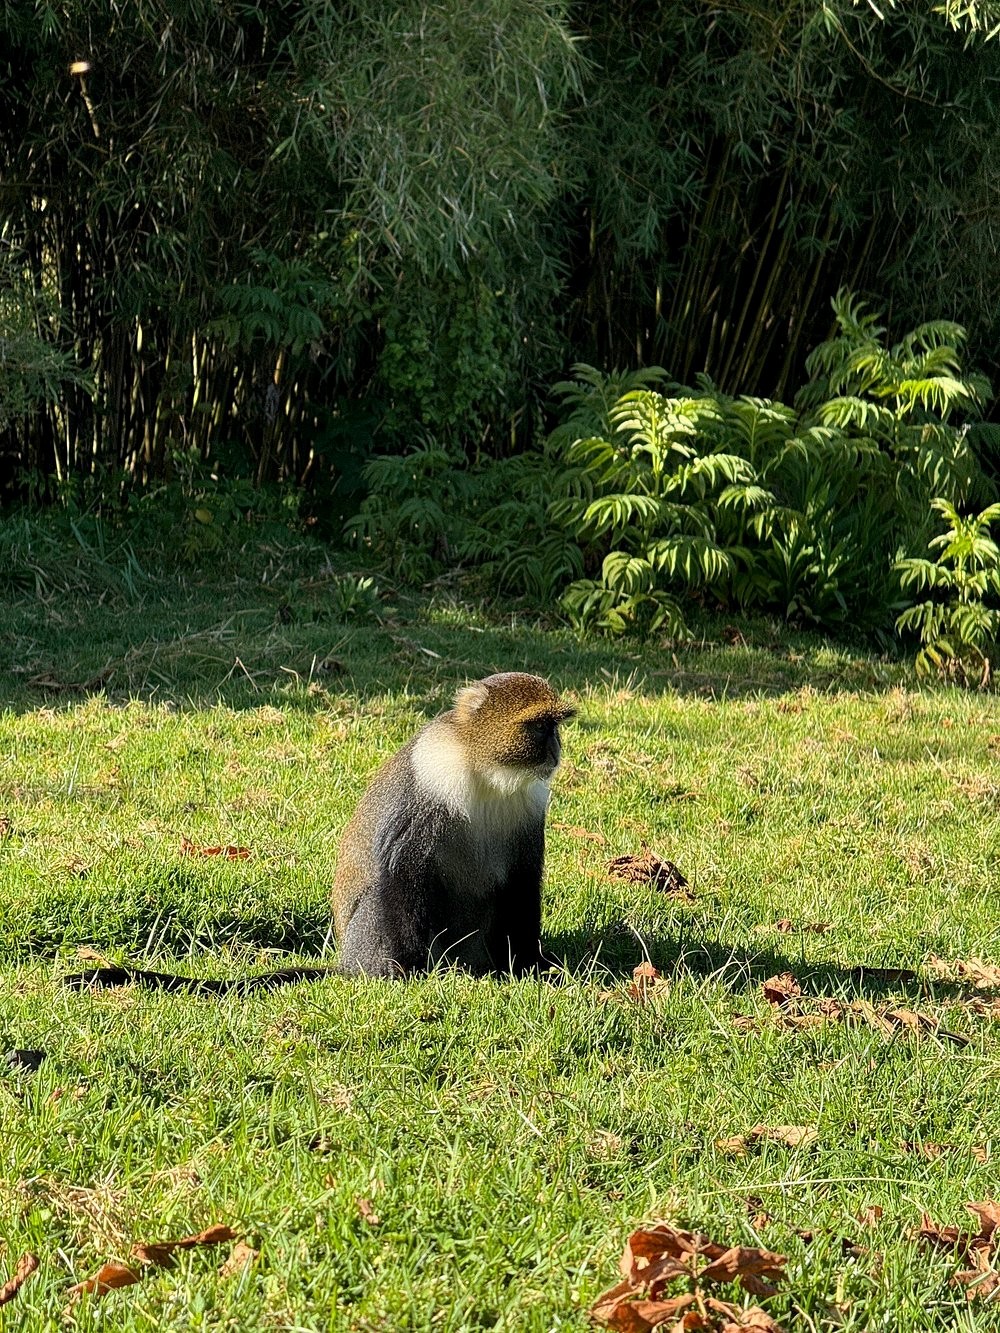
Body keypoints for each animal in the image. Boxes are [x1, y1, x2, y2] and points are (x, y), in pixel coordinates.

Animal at [65, 672, 574, 993]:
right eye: (539, 726)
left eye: (555, 726)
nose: (556, 750)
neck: (484, 770)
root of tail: (345, 964)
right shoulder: (428, 782)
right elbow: (402, 874)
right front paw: (407, 977)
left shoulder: (527, 817)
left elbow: (520, 887)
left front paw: (531, 969)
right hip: (369, 939)